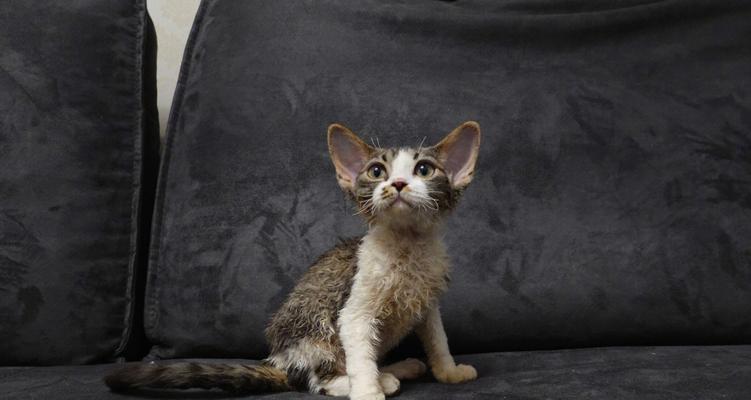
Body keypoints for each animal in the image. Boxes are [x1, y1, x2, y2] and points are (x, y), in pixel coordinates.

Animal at [104, 121, 482, 400]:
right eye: (377, 171)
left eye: (424, 169)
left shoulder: (427, 303)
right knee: (318, 380)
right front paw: (367, 391)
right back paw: (382, 380)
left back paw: (397, 368)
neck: (407, 246)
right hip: (316, 333)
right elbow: (359, 357)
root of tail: (280, 361)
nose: (399, 183)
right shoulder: (354, 312)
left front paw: (449, 371)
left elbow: (437, 339)